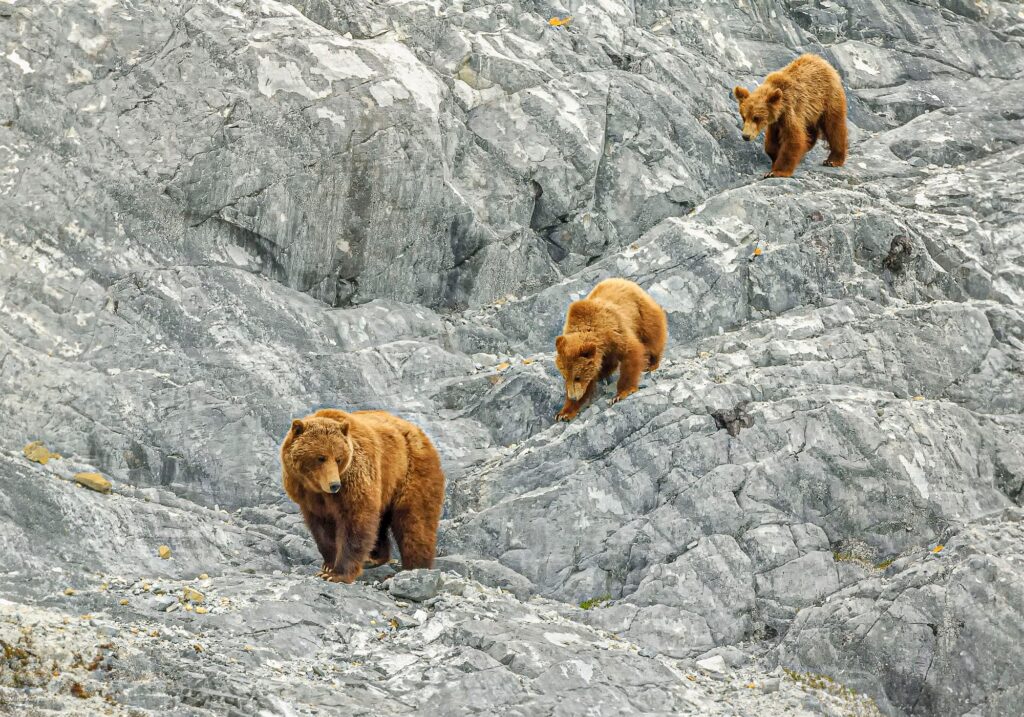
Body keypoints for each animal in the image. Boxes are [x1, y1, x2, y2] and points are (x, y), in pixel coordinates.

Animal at [280, 408, 445, 584]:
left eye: (338, 458)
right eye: (321, 457)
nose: (334, 485)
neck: (317, 488)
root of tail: (418, 432)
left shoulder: (353, 480)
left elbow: (356, 520)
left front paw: (337, 573)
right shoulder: (308, 497)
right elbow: (322, 529)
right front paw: (328, 566)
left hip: (410, 472)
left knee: (414, 521)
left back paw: (413, 568)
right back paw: (373, 558)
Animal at [554, 278, 668, 422]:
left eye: (577, 377)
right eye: (564, 376)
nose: (573, 397)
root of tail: (623, 280)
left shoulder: (615, 330)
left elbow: (631, 353)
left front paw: (621, 393)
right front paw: (564, 412)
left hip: (642, 313)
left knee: (653, 335)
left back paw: (652, 363)